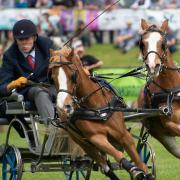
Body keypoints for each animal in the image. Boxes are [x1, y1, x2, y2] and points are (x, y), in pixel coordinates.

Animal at [49, 47, 155, 179]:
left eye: (72, 75)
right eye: (52, 78)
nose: (64, 107)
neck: (97, 109)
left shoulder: (124, 135)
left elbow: (141, 163)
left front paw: (144, 172)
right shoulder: (96, 138)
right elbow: (118, 155)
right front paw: (134, 170)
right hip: (82, 143)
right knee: (105, 167)